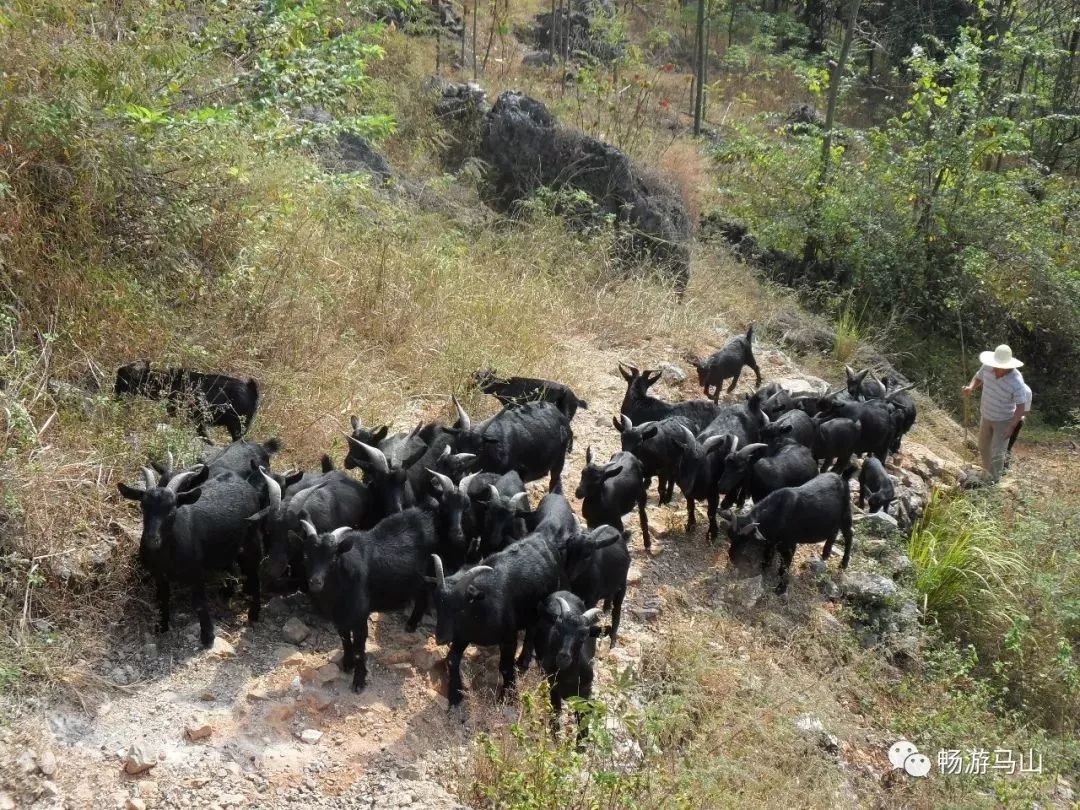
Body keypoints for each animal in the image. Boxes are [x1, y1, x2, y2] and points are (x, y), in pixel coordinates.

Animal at [117, 462, 261, 648]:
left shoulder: (196, 572)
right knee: (232, 566)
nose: (152, 538)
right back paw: (226, 593)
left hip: (252, 539)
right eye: (143, 506)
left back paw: (254, 614)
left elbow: (199, 603)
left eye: (172, 509)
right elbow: (163, 598)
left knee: (254, 573)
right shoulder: (159, 574)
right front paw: (162, 626)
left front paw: (208, 636)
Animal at [725, 468, 851, 596]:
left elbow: (785, 567)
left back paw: (844, 563)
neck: (777, 513)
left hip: (845, 515)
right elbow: (768, 552)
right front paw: (765, 567)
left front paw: (781, 588)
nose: (731, 556)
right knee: (834, 532)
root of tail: (842, 477)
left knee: (848, 535)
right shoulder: (772, 540)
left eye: (745, 540)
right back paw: (826, 552)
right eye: (730, 537)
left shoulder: (790, 544)